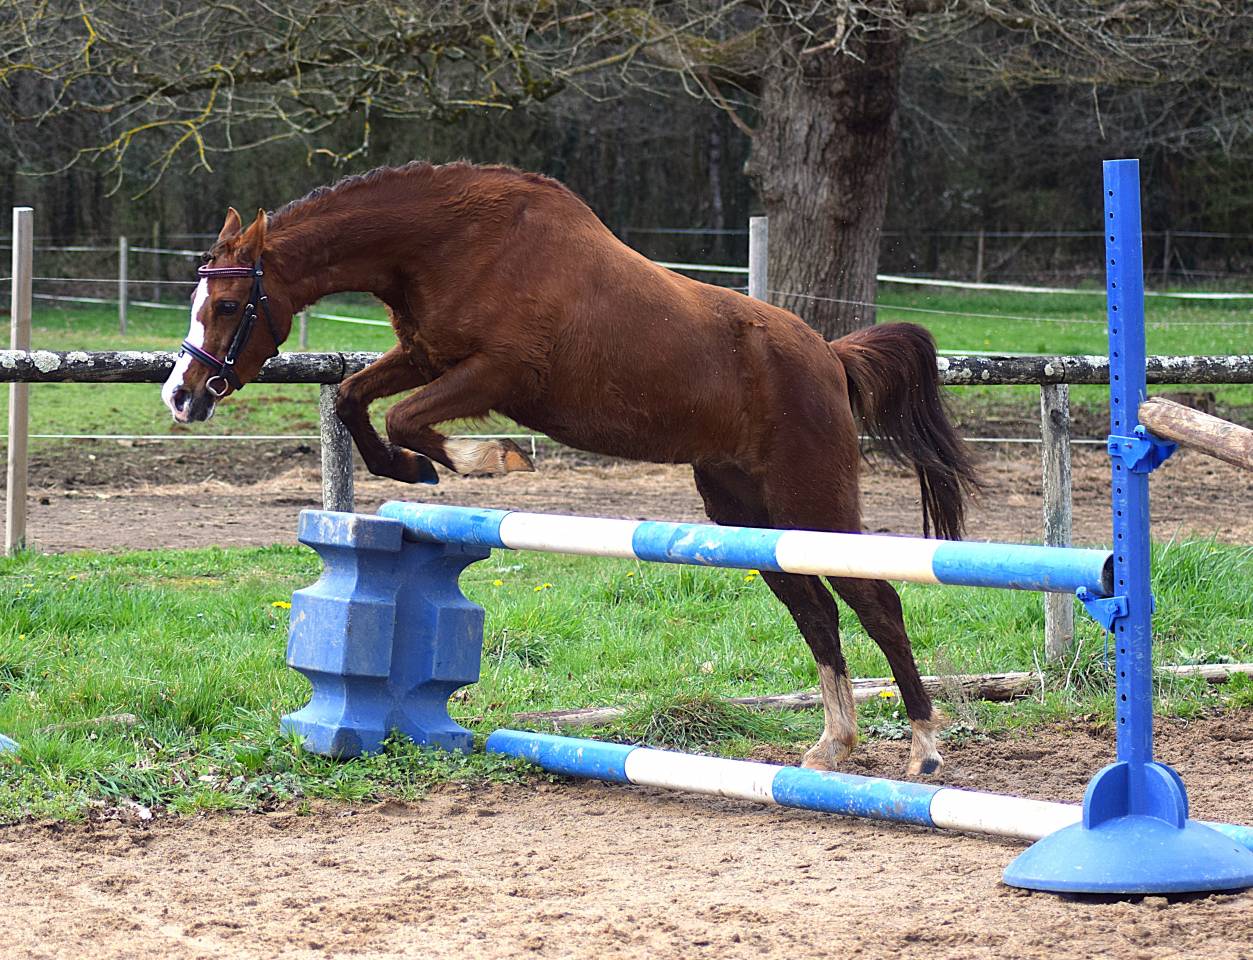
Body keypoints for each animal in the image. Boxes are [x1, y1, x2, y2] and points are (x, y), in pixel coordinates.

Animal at [162, 161, 979, 776]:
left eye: (228, 304)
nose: (181, 395)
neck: (452, 242)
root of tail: (830, 356)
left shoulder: (498, 372)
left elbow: (404, 417)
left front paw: (482, 460)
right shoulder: (425, 354)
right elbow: (355, 403)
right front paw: (414, 471)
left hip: (808, 497)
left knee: (875, 600)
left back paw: (923, 749)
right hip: (743, 510)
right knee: (812, 608)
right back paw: (831, 745)